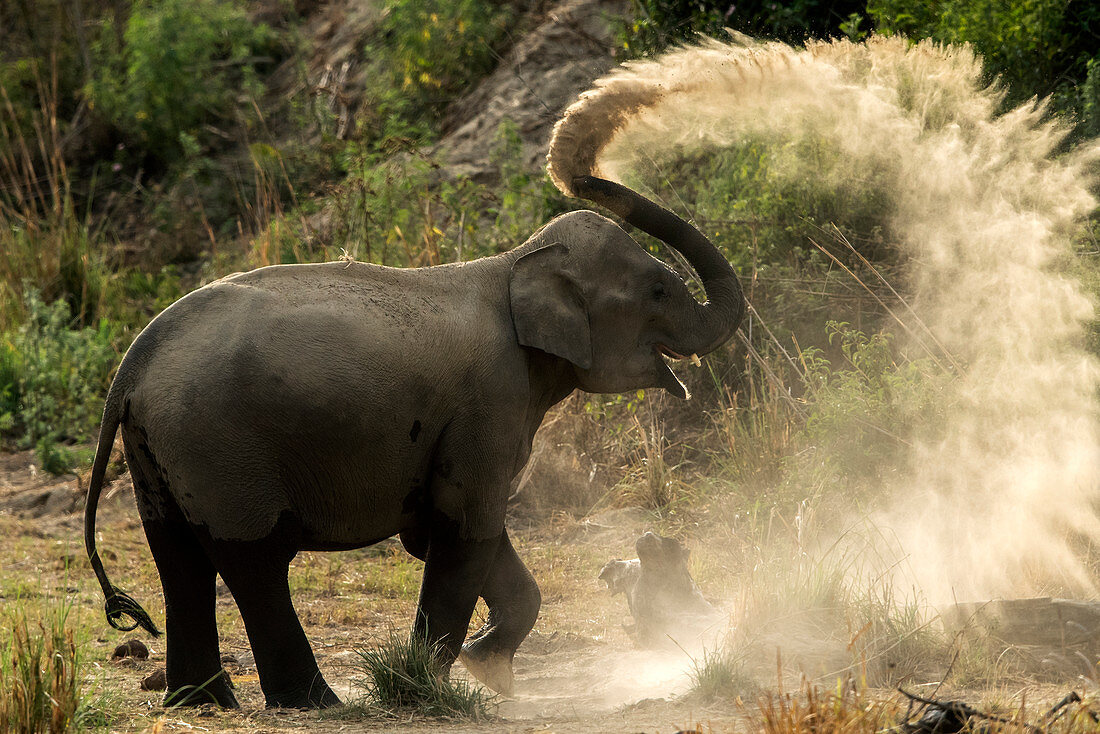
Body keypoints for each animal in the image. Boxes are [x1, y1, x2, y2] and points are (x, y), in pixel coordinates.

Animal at [81, 174, 743, 708]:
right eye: (658, 291)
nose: (577, 172)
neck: (515, 263)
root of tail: (131, 368)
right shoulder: (490, 400)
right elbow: (463, 528)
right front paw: (429, 682)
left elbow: (446, 530)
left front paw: (487, 671)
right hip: (219, 445)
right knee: (253, 562)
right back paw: (313, 703)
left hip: (161, 448)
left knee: (177, 556)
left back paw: (201, 703)